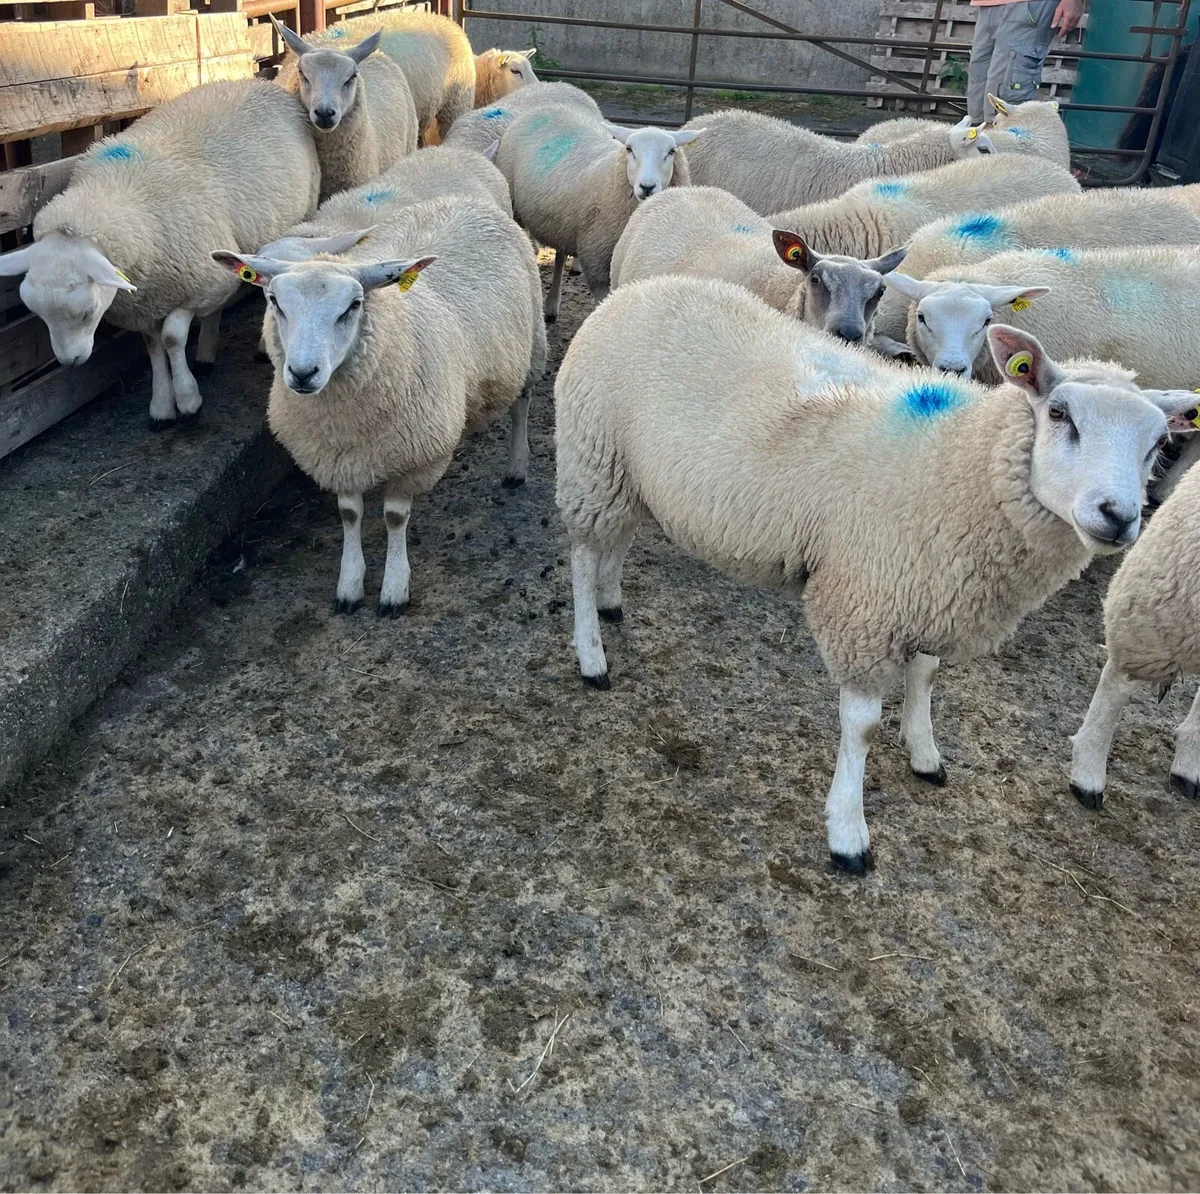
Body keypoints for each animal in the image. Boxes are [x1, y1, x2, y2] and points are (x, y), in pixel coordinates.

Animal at [0, 79, 319, 425]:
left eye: (87, 313)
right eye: (38, 313)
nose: (70, 360)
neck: (117, 193)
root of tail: (261, 83)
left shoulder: (194, 287)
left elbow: (172, 339)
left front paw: (188, 401)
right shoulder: (148, 300)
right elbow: (153, 346)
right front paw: (163, 405)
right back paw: (206, 353)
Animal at [212, 196, 545, 615]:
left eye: (353, 305)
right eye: (275, 301)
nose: (303, 373)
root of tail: (463, 200)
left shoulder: (415, 456)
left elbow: (395, 517)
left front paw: (394, 587)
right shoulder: (337, 458)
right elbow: (349, 514)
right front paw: (349, 584)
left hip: (531, 347)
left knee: (522, 405)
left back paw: (517, 466)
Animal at [496, 106, 704, 321]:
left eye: (671, 152)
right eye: (629, 150)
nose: (647, 187)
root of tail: (545, 108)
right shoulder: (596, 259)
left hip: (564, 220)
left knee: (560, 255)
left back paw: (552, 305)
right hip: (517, 207)